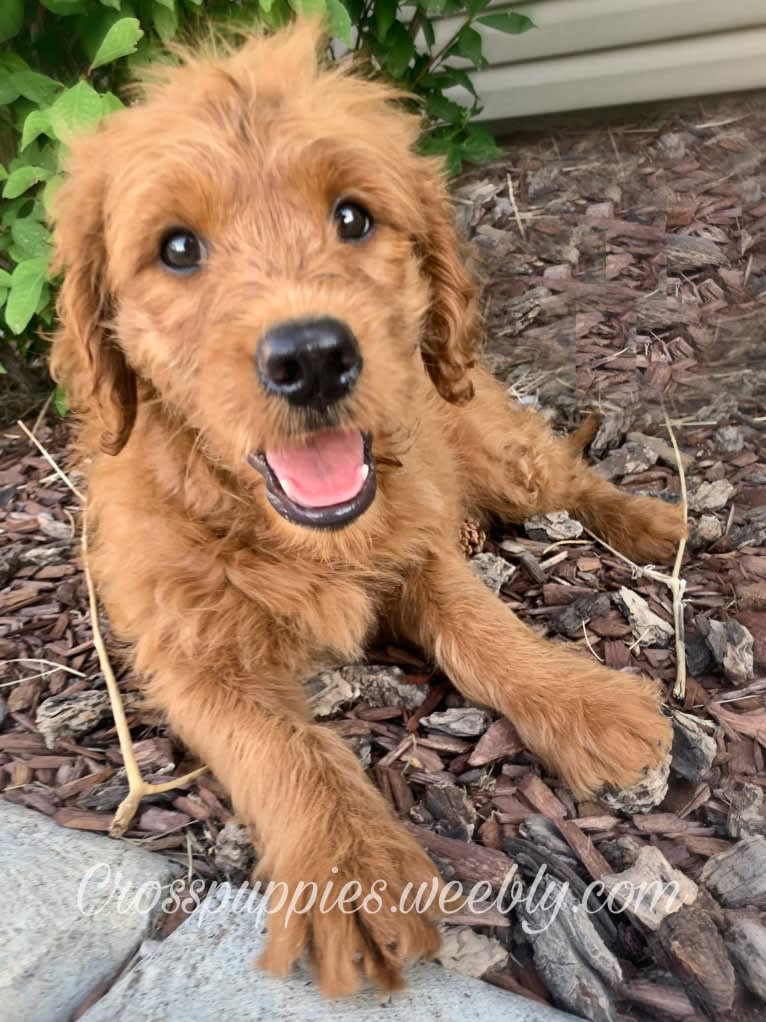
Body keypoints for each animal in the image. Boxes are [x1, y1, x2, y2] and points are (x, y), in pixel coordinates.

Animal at [52, 19, 690, 997]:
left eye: (351, 217)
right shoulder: (188, 653)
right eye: (177, 248)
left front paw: (584, 704)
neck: (289, 530)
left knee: (566, 477)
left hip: (495, 447)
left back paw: (657, 524)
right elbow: (285, 748)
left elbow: (488, 628)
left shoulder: (415, 553)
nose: (312, 357)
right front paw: (351, 872)